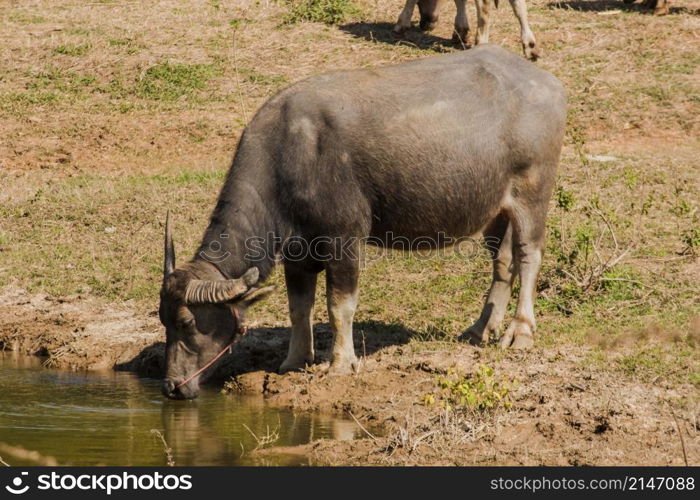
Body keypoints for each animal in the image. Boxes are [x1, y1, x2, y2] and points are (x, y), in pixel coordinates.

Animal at [156, 45, 568, 400]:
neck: (291, 156)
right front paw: (294, 361)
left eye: (188, 323)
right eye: (163, 320)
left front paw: (340, 364)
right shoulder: (297, 252)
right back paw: (481, 328)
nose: (172, 386)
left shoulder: (345, 240)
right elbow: (299, 306)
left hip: (532, 193)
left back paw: (520, 332)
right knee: (502, 261)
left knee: (529, 255)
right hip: (496, 209)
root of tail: (548, 82)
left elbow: (340, 305)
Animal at [394, 0, 540, 60]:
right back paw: (530, 46)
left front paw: (401, 23)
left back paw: (481, 45)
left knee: (484, 7)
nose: (425, 24)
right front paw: (461, 31)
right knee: (520, 5)